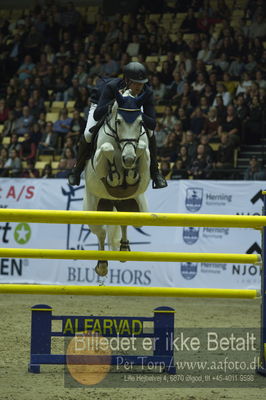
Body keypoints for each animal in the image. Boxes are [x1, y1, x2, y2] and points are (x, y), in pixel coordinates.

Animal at [83, 90, 151, 276]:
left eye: (140, 122)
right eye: (119, 121)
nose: (129, 159)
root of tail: (114, 203)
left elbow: (141, 146)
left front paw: (130, 171)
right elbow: (107, 148)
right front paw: (115, 174)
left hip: (136, 209)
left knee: (125, 221)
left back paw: (124, 249)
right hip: (93, 208)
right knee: (100, 233)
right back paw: (102, 265)